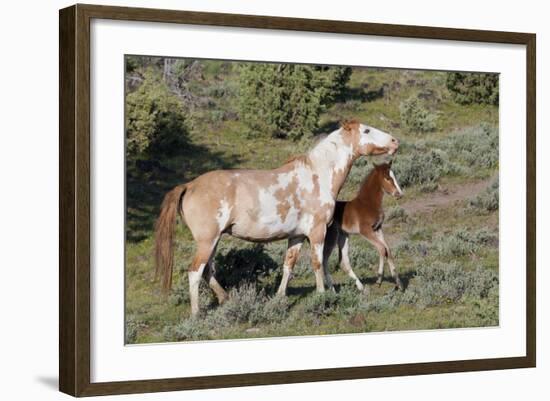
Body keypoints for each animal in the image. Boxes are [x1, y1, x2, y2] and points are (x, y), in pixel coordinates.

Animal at [324, 161, 406, 292]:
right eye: (387, 178)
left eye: (394, 176)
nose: (399, 194)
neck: (368, 203)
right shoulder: (366, 231)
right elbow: (382, 249)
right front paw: (379, 279)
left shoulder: (378, 228)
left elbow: (387, 250)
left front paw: (399, 283)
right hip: (331, 238)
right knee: (323, 261)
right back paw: (332, 290)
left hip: (343, 236)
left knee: (343, 261)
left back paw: (360, 287)